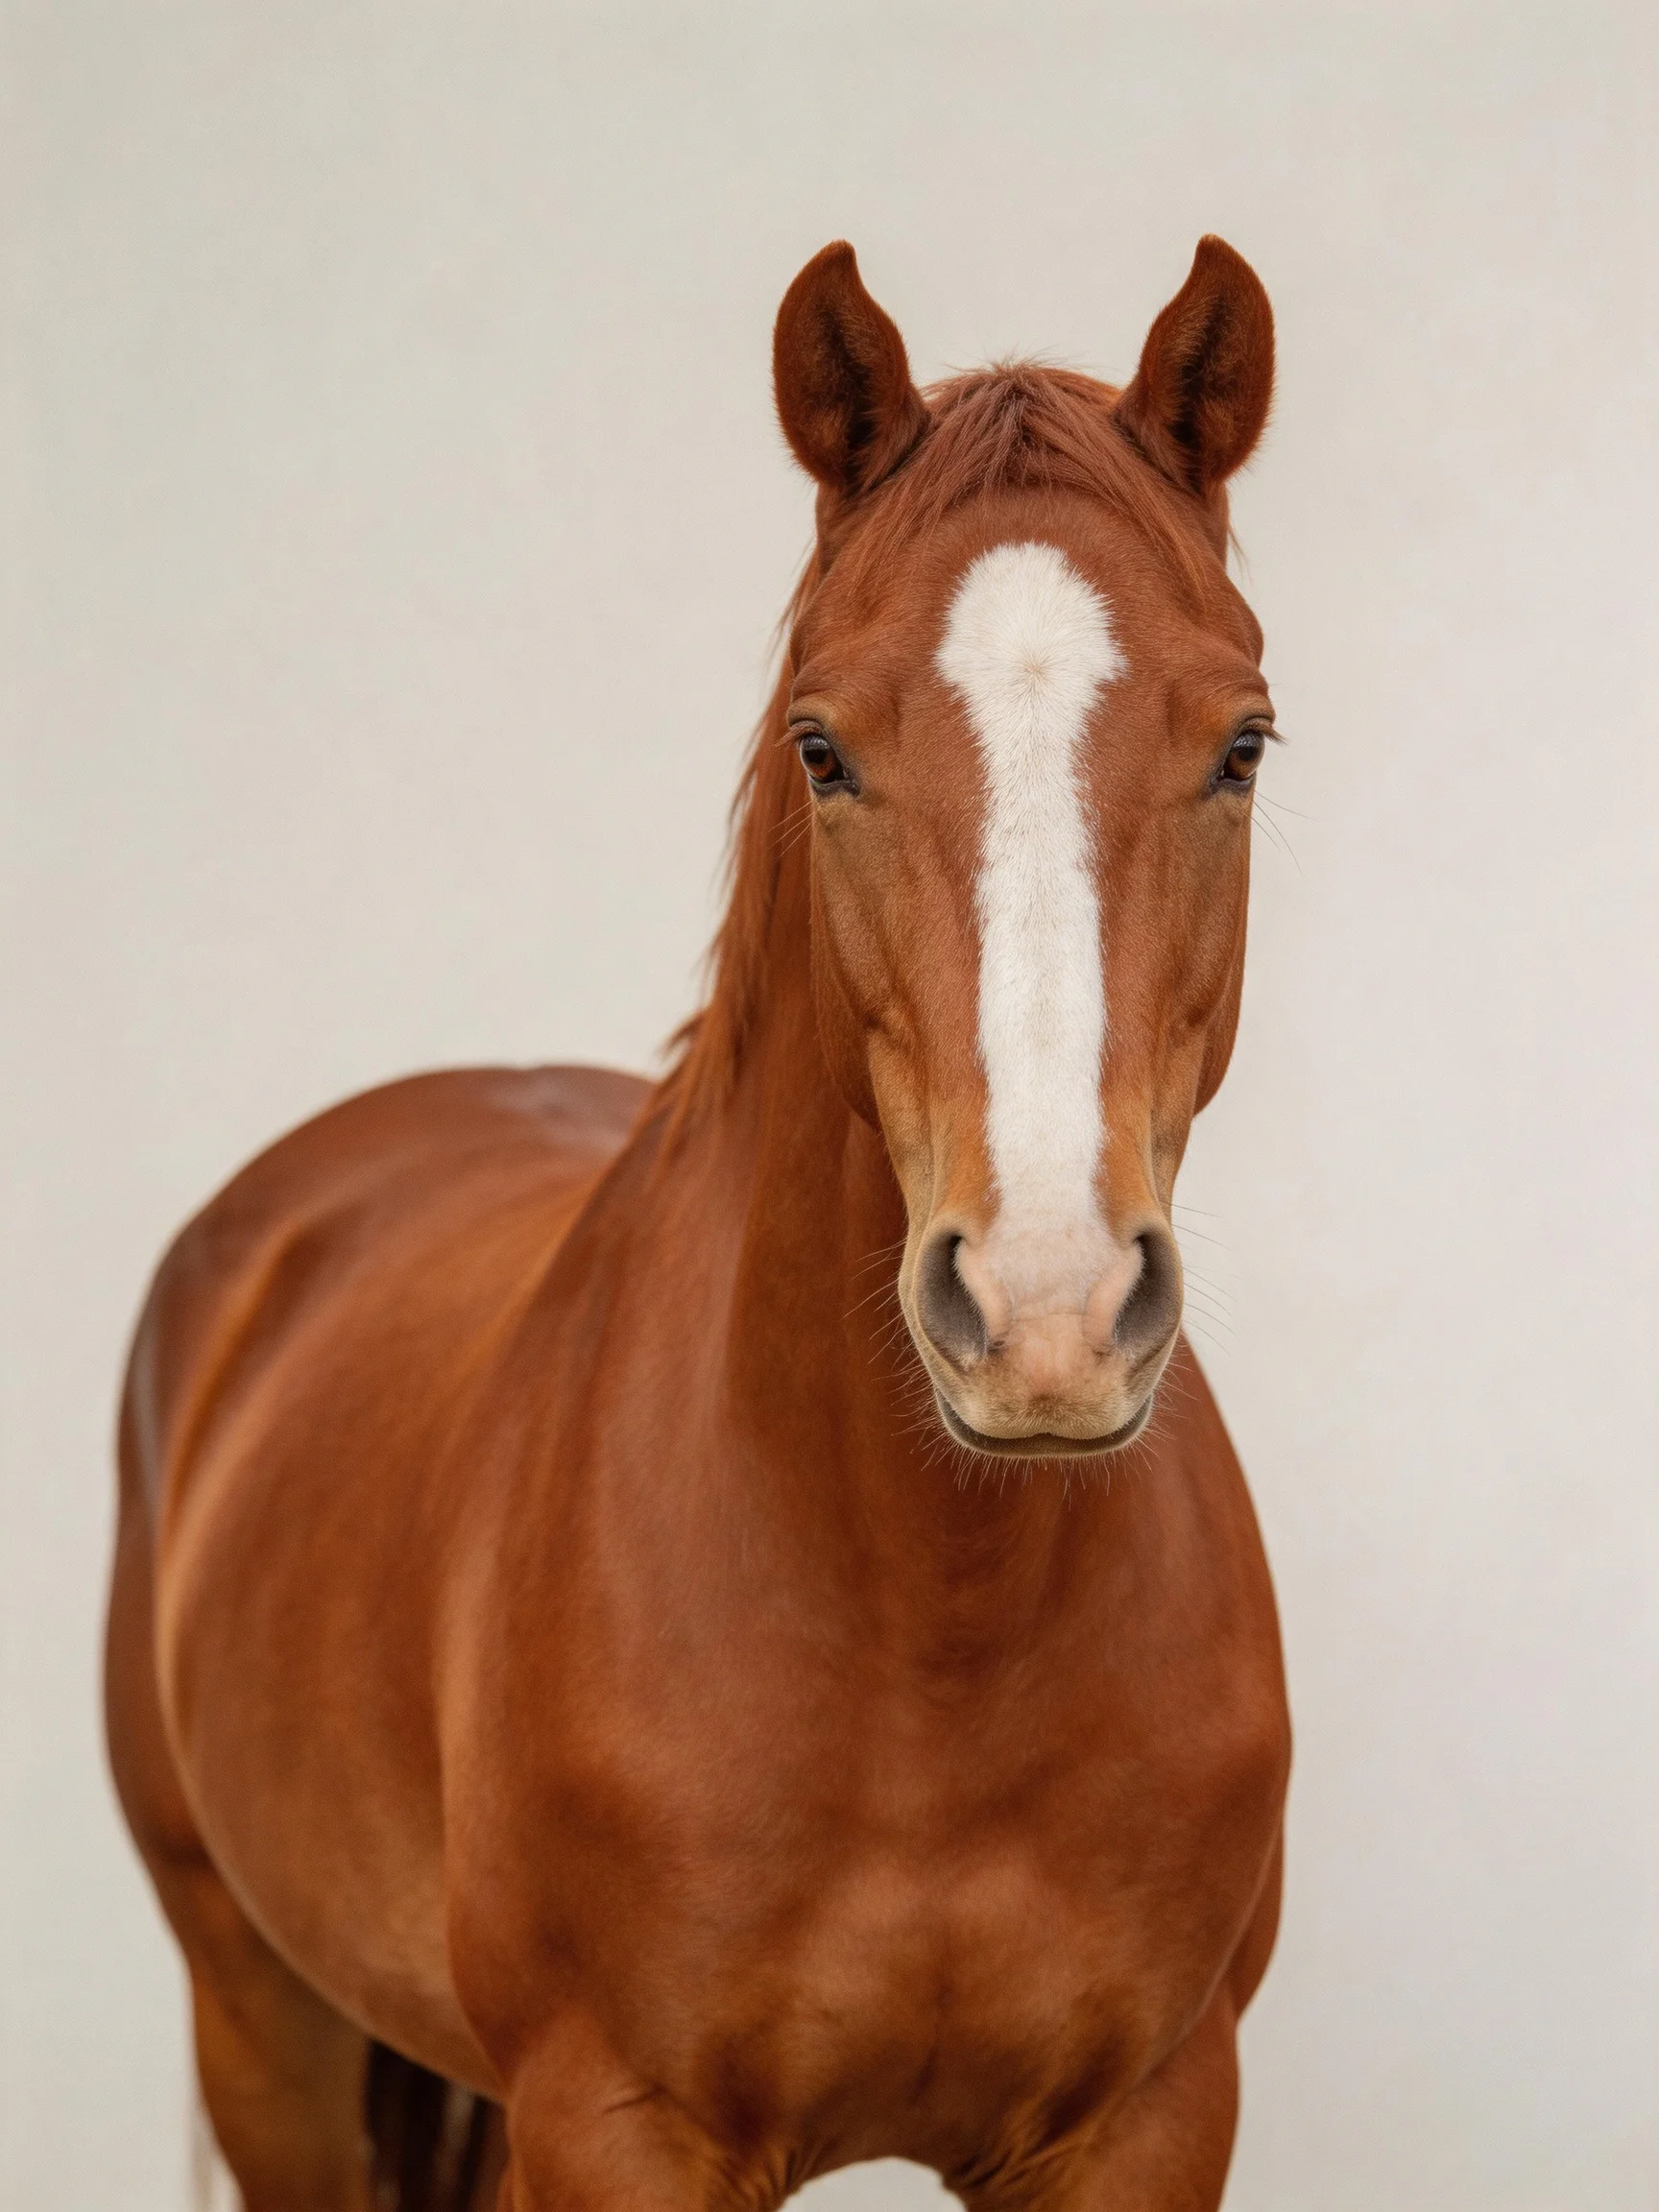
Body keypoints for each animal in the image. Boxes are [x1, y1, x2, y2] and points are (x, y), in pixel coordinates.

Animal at [106, 235, 1290, 2212]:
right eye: (822, 747)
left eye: (1243, 747)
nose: (1043, 1312)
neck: (924, 1636)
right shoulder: (621, 2127)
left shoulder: (1146, 2120)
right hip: (259, 2022)